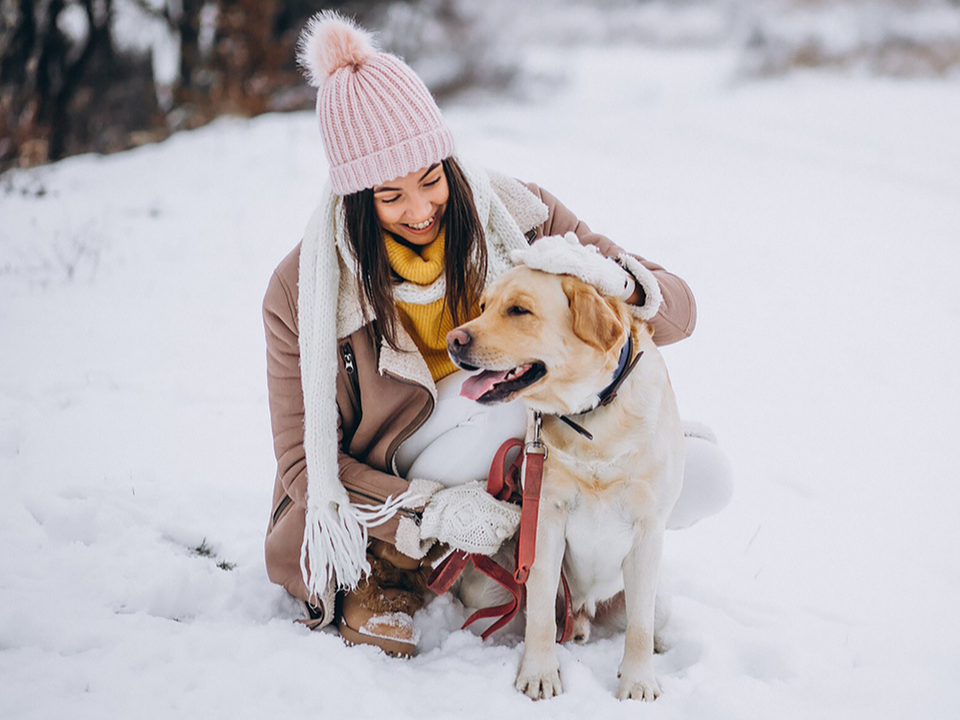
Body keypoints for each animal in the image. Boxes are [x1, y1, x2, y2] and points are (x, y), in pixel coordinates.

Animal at [448, 268, 684, 700]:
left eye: (518, 310)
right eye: (483, 306)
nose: (453, 340)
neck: (591, 419)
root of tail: (584, 610)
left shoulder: (648, 530)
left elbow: (639, 628)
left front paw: (638, 681)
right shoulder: (546, 520)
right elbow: (540, 615)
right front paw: (539, 674)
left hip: (659, 599)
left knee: (648, 620)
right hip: (488, 589)